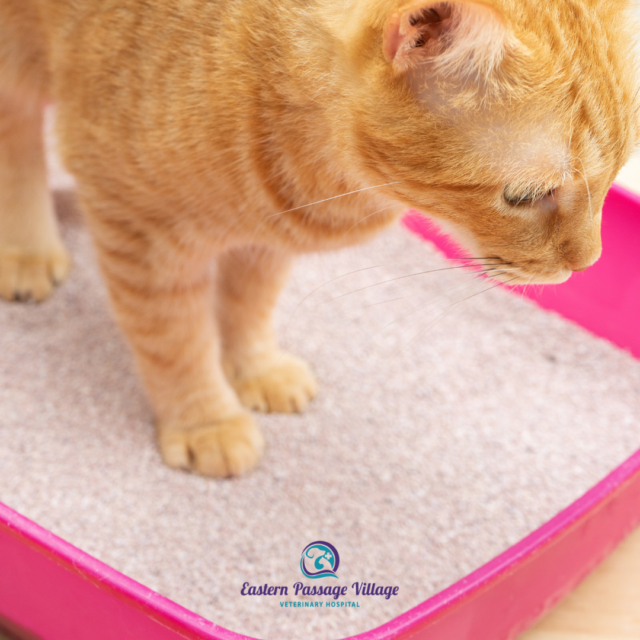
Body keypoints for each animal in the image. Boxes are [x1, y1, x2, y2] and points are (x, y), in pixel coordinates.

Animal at [0, 0, 636, 476]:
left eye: (613, 177)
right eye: (525, 197)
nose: (589, 262)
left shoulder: (266, 239)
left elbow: (248, 303)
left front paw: (254, 368)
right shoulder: (141, 232)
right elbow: (175, 340)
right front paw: (206, 418)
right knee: (20, 142)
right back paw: (28, 249)